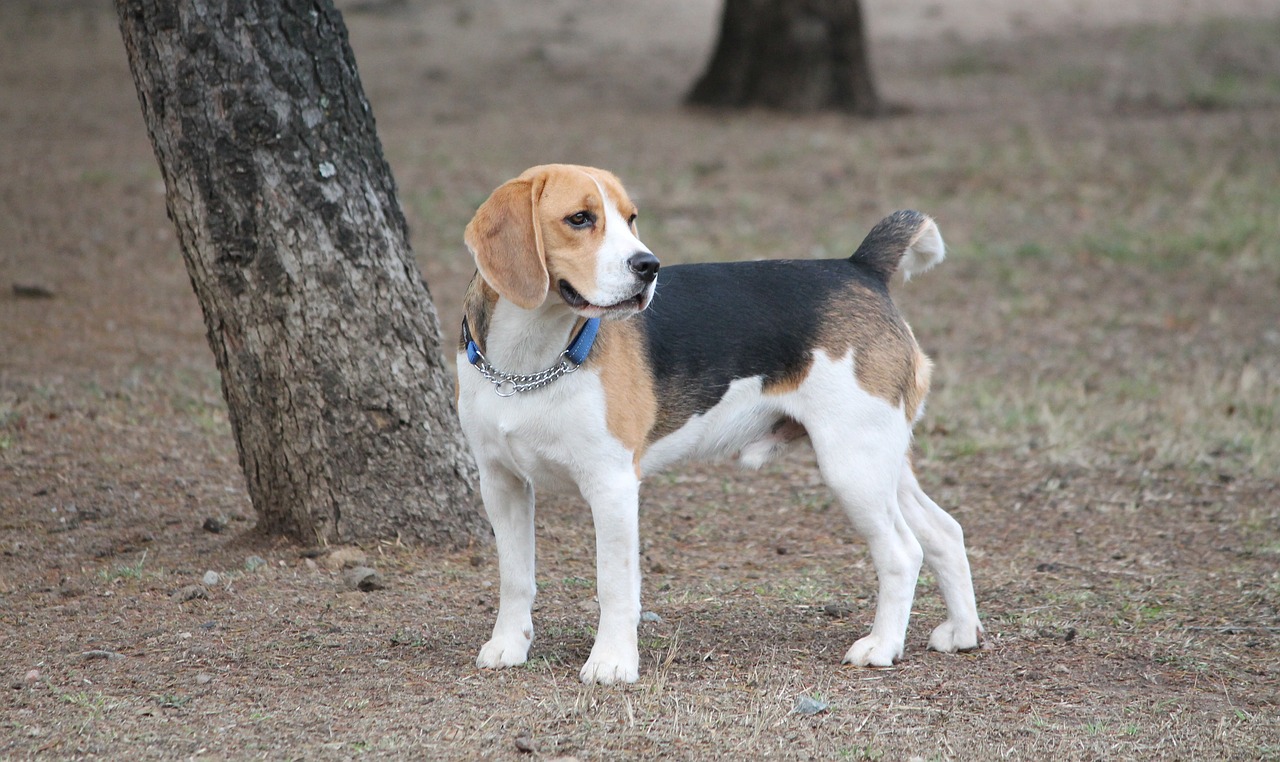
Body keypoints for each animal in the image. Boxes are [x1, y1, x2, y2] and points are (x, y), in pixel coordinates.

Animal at [458, 162, 977, 686]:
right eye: (579, 218)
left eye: (631, 218)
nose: (648, 266)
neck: (529, 361)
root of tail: (860, 267)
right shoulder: (500, 483)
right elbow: (515, 577)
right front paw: (508, 645)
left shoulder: (612, 484)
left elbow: (615, 584)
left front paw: (612, 662)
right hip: (881, 459)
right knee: (945, 532)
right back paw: (962, 631)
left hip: (852, 465)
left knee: (902, 552)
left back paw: (882, 646)